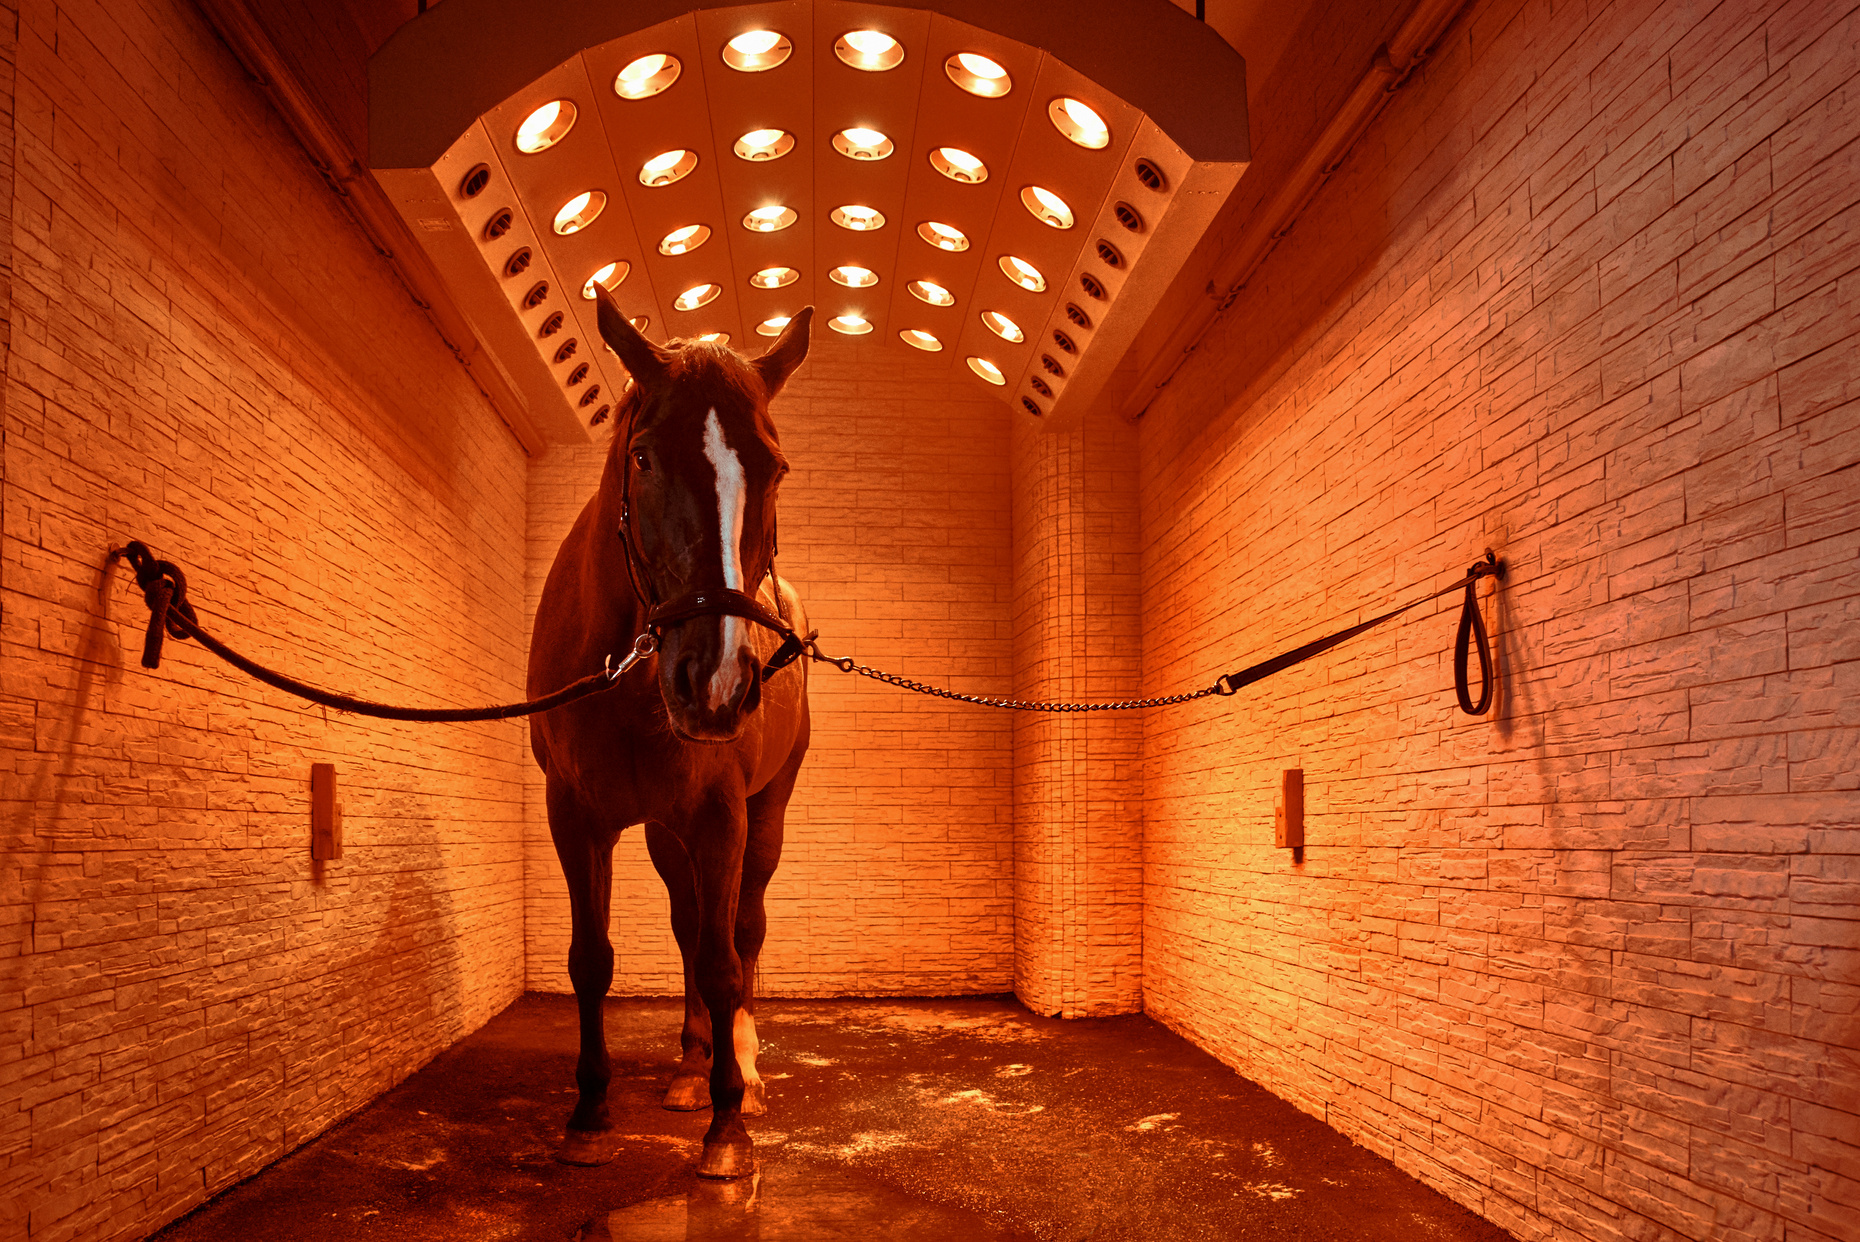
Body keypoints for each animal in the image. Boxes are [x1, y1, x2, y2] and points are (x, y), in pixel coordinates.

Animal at [528, 286, 815, 1178]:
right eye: (645, 458)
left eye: (774, 468)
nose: (716, 685)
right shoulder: (575, 817)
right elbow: (593, 960)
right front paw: (589, 1114)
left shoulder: (722, 817)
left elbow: (725, 963)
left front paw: (728, 1130)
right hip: (664, 833)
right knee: (691, 927)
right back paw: (693, 1068)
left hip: (766, 815)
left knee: (741, 932)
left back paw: (741, 1071)